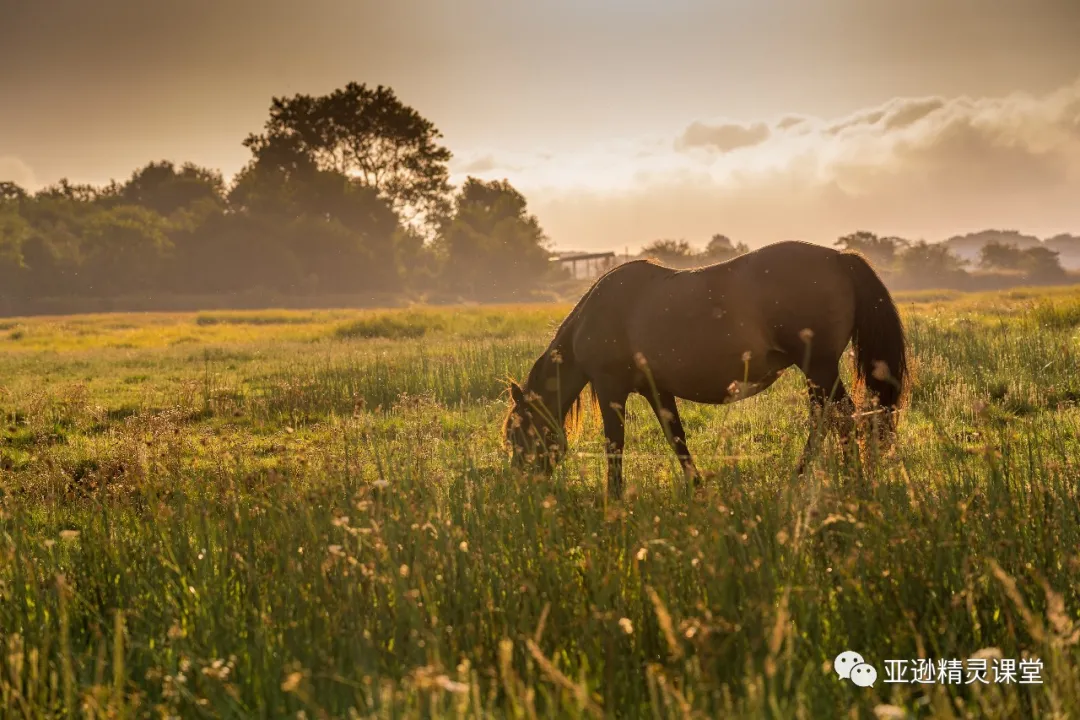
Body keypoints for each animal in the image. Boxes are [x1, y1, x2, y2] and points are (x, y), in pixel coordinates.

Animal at [501, 239, 907, 498]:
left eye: (515, 433)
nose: (522, 485)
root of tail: (839, 258)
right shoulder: (656, 389)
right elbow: (676, 437)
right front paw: (696, 486)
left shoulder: (609, 387)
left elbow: (614, 444)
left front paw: (612, 498)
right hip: (817, 373)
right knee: (829, 418)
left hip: (818, 368)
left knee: (842, 417)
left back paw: (839, 478)